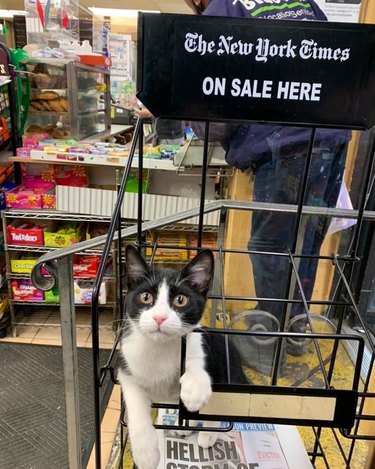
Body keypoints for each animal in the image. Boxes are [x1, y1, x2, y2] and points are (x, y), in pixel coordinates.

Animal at [119, 245, 248, 468]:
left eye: (180, 300)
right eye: (145, 297)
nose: (159, 317)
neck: (160, 349)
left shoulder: (198, 346)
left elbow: (196, 366)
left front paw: (195, 389)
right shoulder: (126, 368)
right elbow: (135, 404)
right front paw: (146, 453)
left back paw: (207, 435)